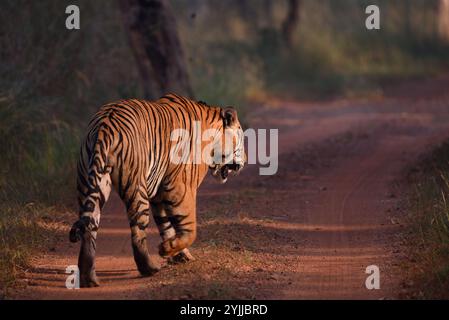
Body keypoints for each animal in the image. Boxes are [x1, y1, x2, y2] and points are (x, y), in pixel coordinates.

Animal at [68, 92, 247, 288]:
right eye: (242, 139)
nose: (246, 160)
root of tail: (104, 126)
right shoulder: (182, 187)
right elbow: (189, 227)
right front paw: (168, 250)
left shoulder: (159, 192)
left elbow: (166, 225)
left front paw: (177, 253)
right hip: (136, 188)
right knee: (137, 232)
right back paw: (149, 268)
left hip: (91, 183)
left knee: (89, 228)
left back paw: (89, 278)